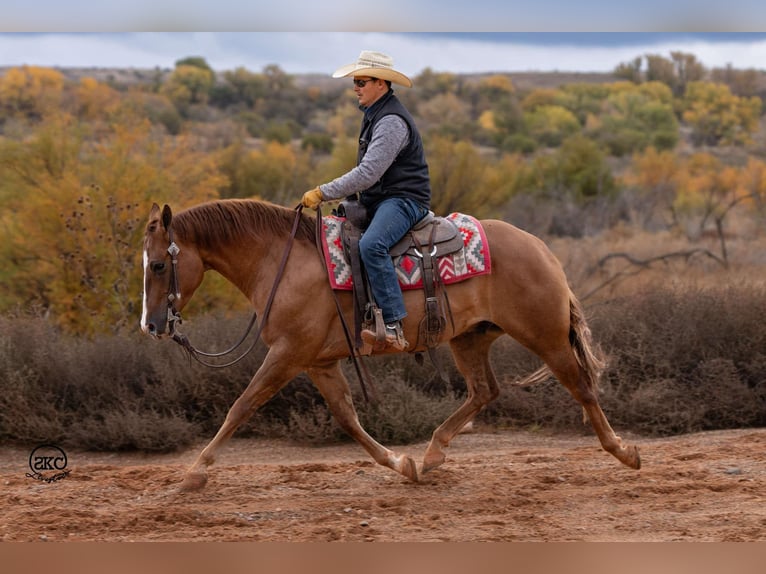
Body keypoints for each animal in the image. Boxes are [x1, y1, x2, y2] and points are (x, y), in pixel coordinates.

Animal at [140, 200, 640, 492]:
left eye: (160, 264)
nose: (151, 325)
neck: (283, 262)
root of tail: (540, 248)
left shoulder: (287, 354)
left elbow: (241, 406)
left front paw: (193, 473)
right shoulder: (318, 363)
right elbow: (347, 417)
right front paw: (401, 463)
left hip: (545, 336)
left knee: (582, 387)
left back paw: (623, 451)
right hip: (469, 338)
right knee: (485, 391)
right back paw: (433, 454)